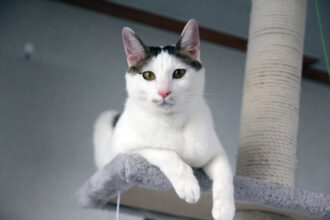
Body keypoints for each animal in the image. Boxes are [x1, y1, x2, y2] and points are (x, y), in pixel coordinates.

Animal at [93, 19, 235, 220]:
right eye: (148, 75)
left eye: (178, 73)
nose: (164, 92)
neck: (173, 121)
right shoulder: (125, 152)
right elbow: (167, 154)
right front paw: (188, 185)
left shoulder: (216, 151)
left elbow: (225, 172)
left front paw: (225, 208)